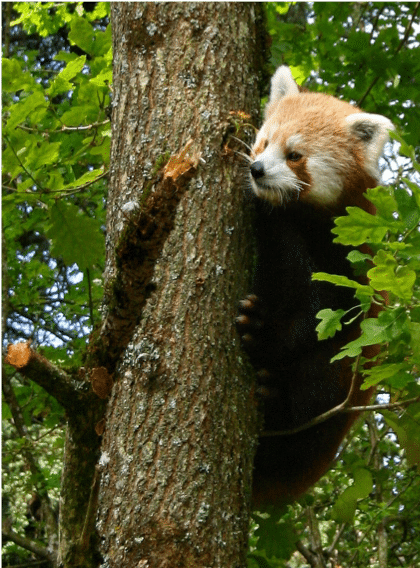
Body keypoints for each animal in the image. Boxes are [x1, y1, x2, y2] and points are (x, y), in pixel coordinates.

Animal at [238, 64, 392, 504]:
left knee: (317, 386)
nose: (257, 170)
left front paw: (263, 332)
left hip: (341, 386)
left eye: (294, 155)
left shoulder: (349, 262)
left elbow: (320, 320)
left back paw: (276, 397)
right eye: (263, 142)